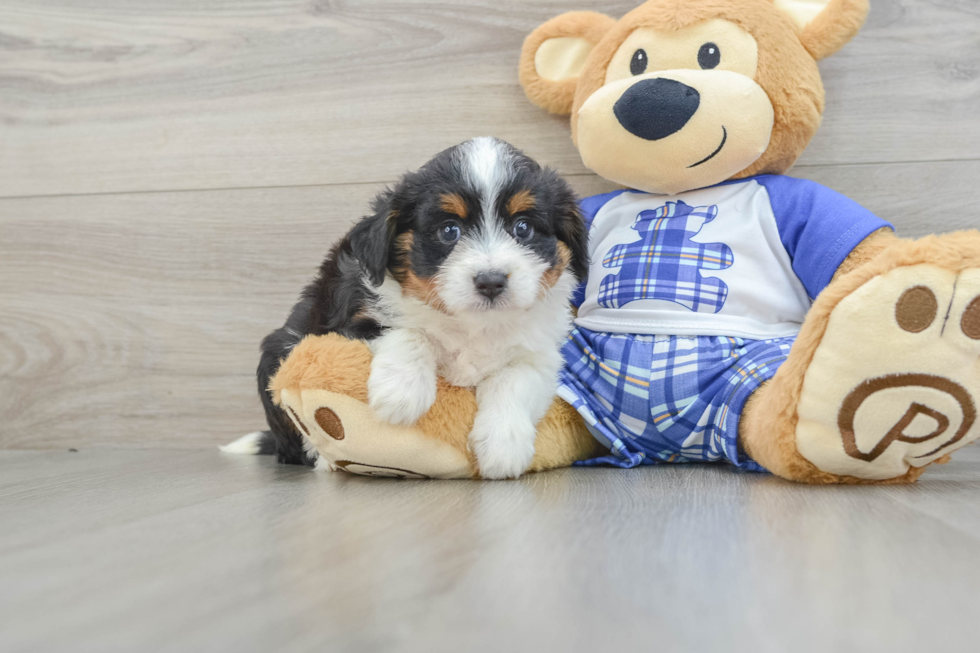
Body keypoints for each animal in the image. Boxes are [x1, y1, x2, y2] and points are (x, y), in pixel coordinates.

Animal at [235, 138, 588, 476]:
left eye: (523, 228)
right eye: (449, 230)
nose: (491, 281)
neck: (471, 324)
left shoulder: (541, 356)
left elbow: (514, 379)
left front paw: (504, 444)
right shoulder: (351, 322)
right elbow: (407, 331)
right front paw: (401, 392)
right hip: (279, 352)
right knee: (291, 445)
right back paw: (322, 458)